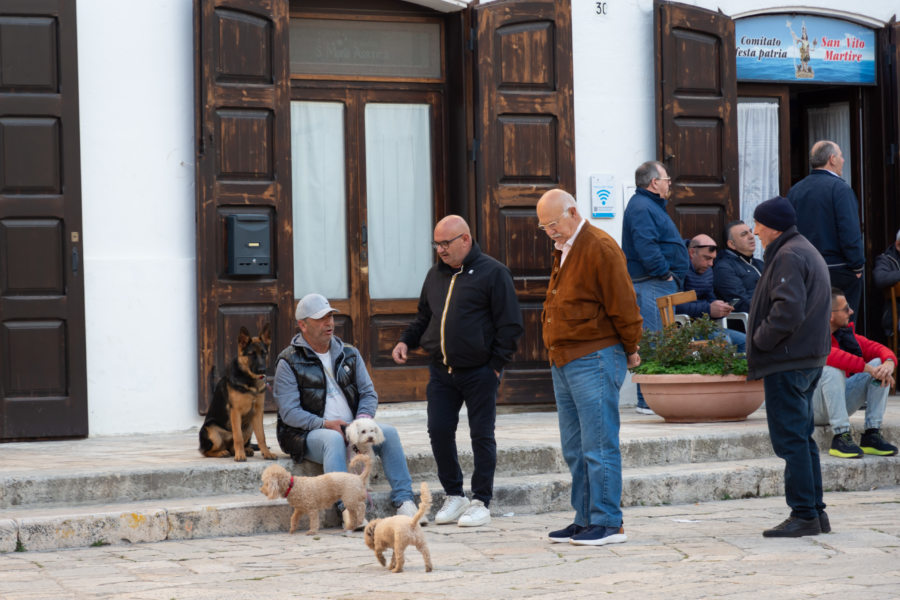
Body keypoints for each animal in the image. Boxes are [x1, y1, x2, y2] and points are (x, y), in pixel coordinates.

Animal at [199, 326, 276, 462]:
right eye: (251, 354)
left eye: (264, 353)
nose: (262, 370)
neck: (249, 380)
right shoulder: (235, 412)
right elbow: (238, 437)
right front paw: (240, 456)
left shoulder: (257, 412)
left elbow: (262, 436)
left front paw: (266, 453)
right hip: (212, 431)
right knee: (207, 451)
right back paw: (223, 452)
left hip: (249, 426)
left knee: (233, 447)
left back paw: (246, 449)